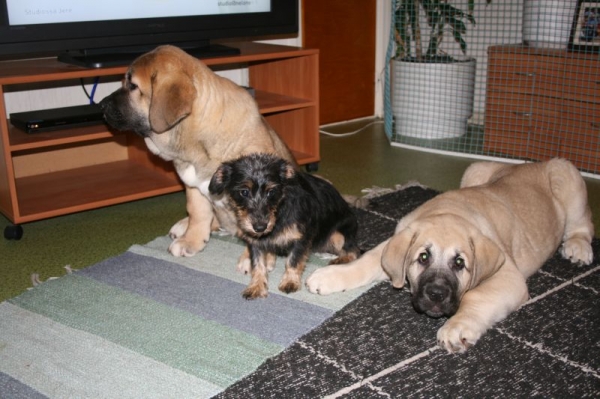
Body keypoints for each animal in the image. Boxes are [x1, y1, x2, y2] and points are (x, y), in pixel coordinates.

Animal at [210, 154, 360, 300]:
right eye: (244, 192)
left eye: (271, 191)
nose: (260, 227)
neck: (279, 211)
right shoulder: (255, 241)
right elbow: (258, 265)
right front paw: (256, 286)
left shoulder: (301, 238)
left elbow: (293, 261)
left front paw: (290, 282)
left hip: (338, 236)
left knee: (354, 251)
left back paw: (340, 260)